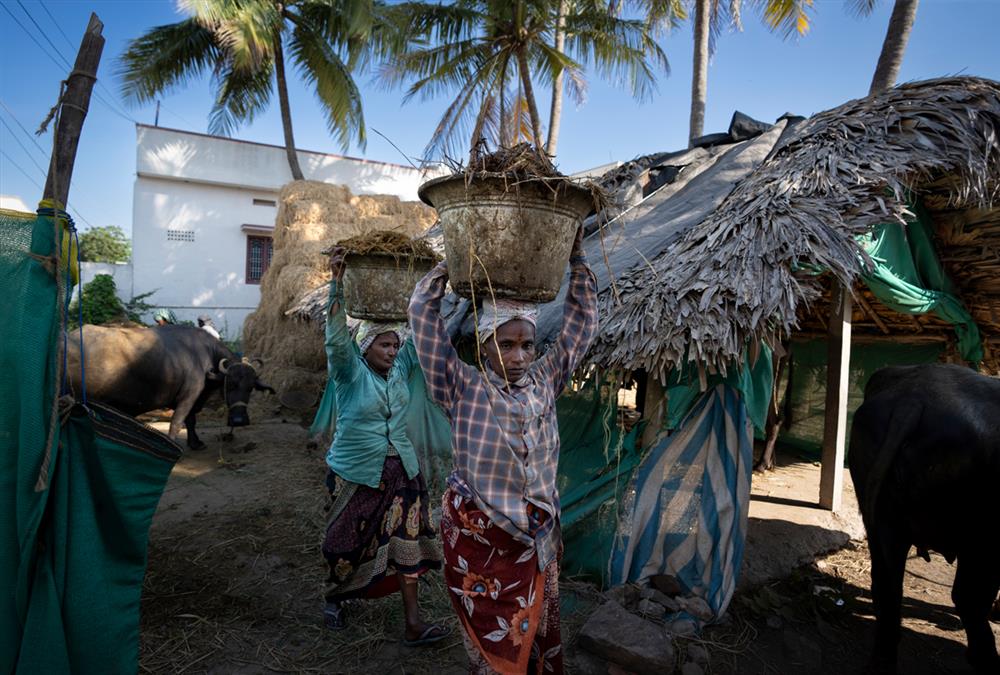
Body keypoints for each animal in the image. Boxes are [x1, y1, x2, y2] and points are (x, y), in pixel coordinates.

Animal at [66, 324, 274, 448]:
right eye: (229, 384)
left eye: (250, 387)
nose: (239, 420)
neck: (207, 354)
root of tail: (69, 339)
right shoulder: (188, 396)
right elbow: (177, 422)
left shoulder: (195, 400)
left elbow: (191, 421)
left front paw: (195, 443)